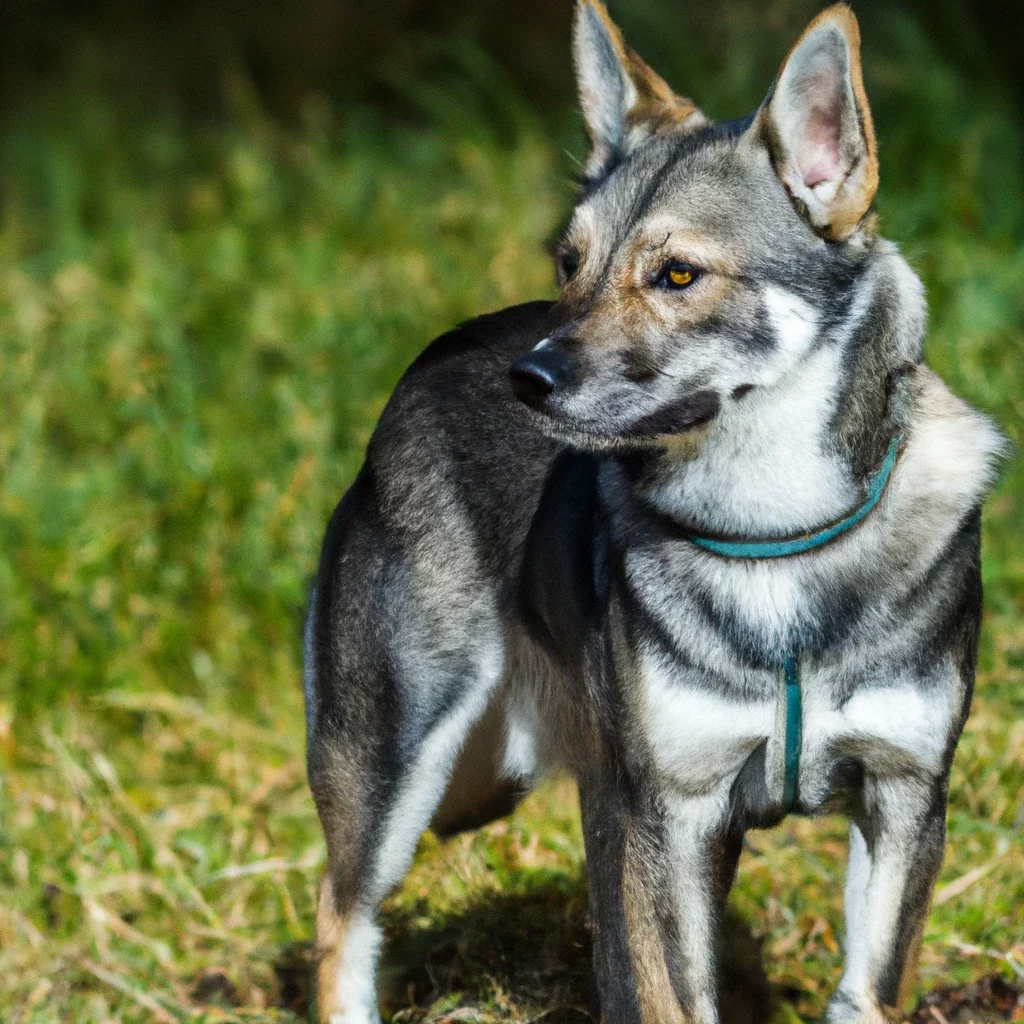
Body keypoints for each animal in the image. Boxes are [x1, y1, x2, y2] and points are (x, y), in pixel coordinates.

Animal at [301, 4, 999, 1019]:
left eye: (677, 276)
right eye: (571, 262)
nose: (527, 380)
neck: (771, 537)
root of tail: (434, 359)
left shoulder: (903, 799)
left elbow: (865, 991)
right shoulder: (665, 816)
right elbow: (670, 994)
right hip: (399, 768)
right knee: (338, 912)